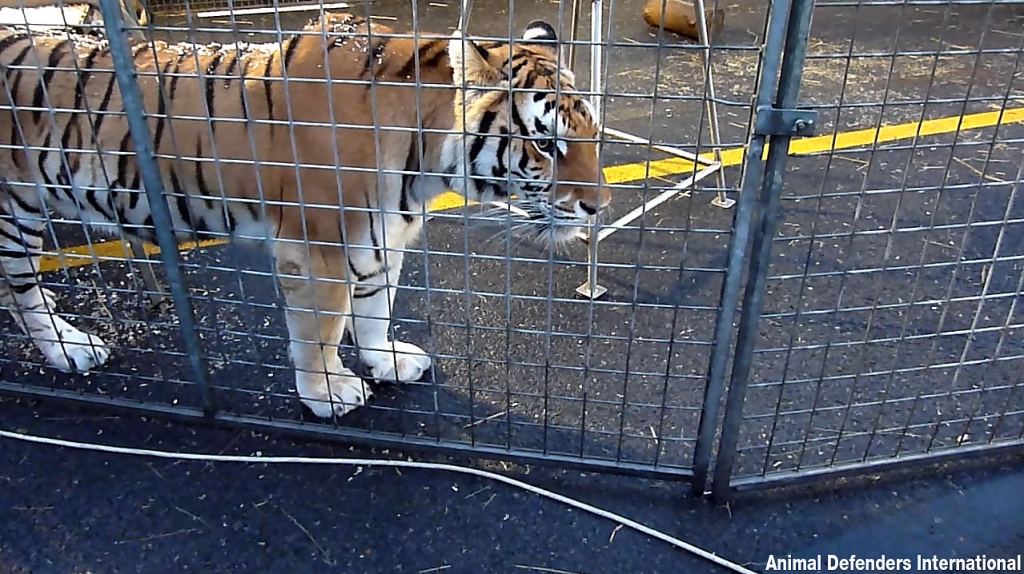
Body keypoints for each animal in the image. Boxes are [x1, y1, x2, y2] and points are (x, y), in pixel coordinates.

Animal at [0, 12, 610, 418]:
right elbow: (323, 330)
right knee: (21, 290)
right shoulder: (319, 249)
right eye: (547, 145)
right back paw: (69, 347)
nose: (599, 207)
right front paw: (329, 393)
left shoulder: (383, 236)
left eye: (594, 133)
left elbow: (375, 308)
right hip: (16, 210)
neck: (426, 160)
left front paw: (386, 360)